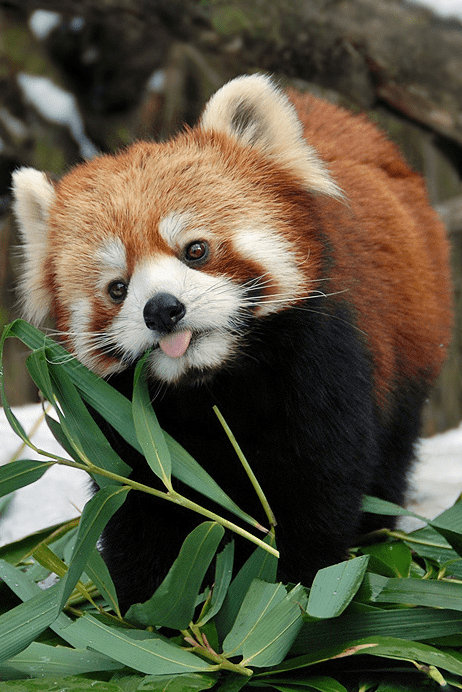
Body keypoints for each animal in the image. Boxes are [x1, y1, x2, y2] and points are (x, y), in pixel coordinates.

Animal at [10, 75, 452, 612]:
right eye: (117, 288)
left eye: (195, 250)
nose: (162, 309)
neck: (212, 384)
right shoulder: (125, 423)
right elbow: (140, 505)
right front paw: (148, 605)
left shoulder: (325, 367)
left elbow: (317, 489)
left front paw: (293, 590)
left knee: (393, 453)